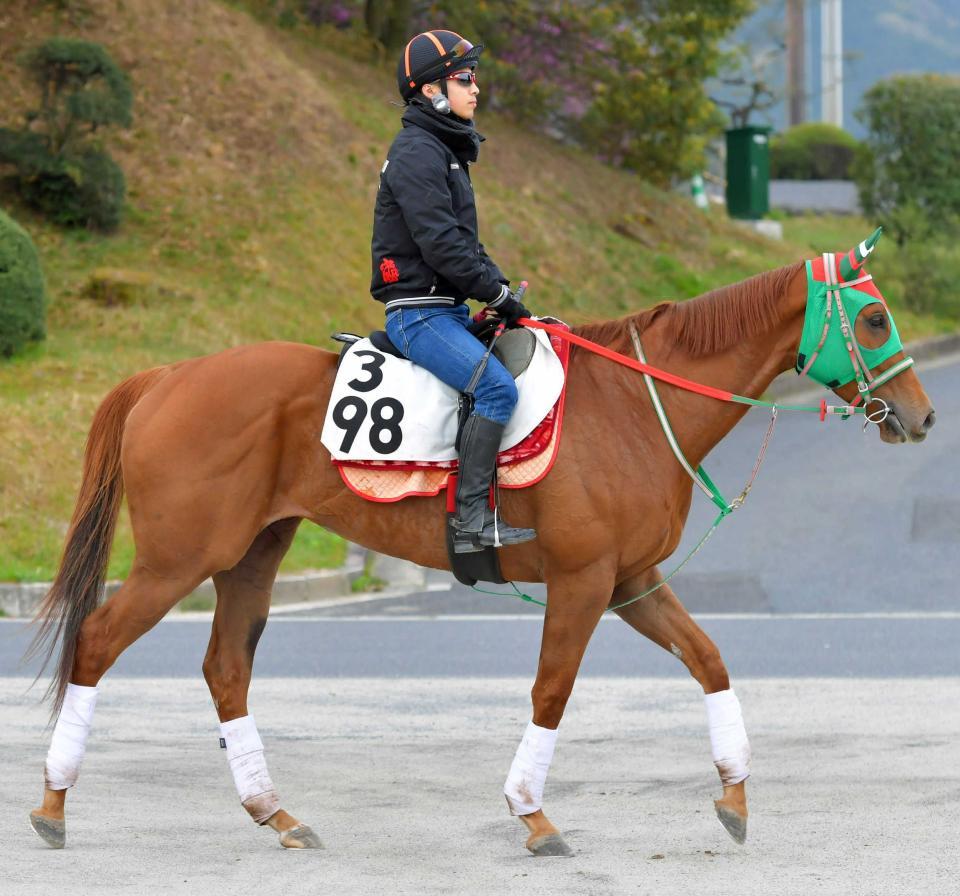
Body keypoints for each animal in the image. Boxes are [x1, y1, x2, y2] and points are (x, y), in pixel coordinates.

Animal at [26, 243, 932, 856]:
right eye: (874, 317)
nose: (922, 417)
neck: (636, 405)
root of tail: (167, 377)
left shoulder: (631, 582)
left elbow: (709, 660)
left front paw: (736, 797)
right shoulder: (584, 581)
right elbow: (552, 692)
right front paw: (532, 813)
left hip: (252, 554)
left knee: (225, 669)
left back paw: (273, 812)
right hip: (178, 561)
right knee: (98, 643)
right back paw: (54, 804)